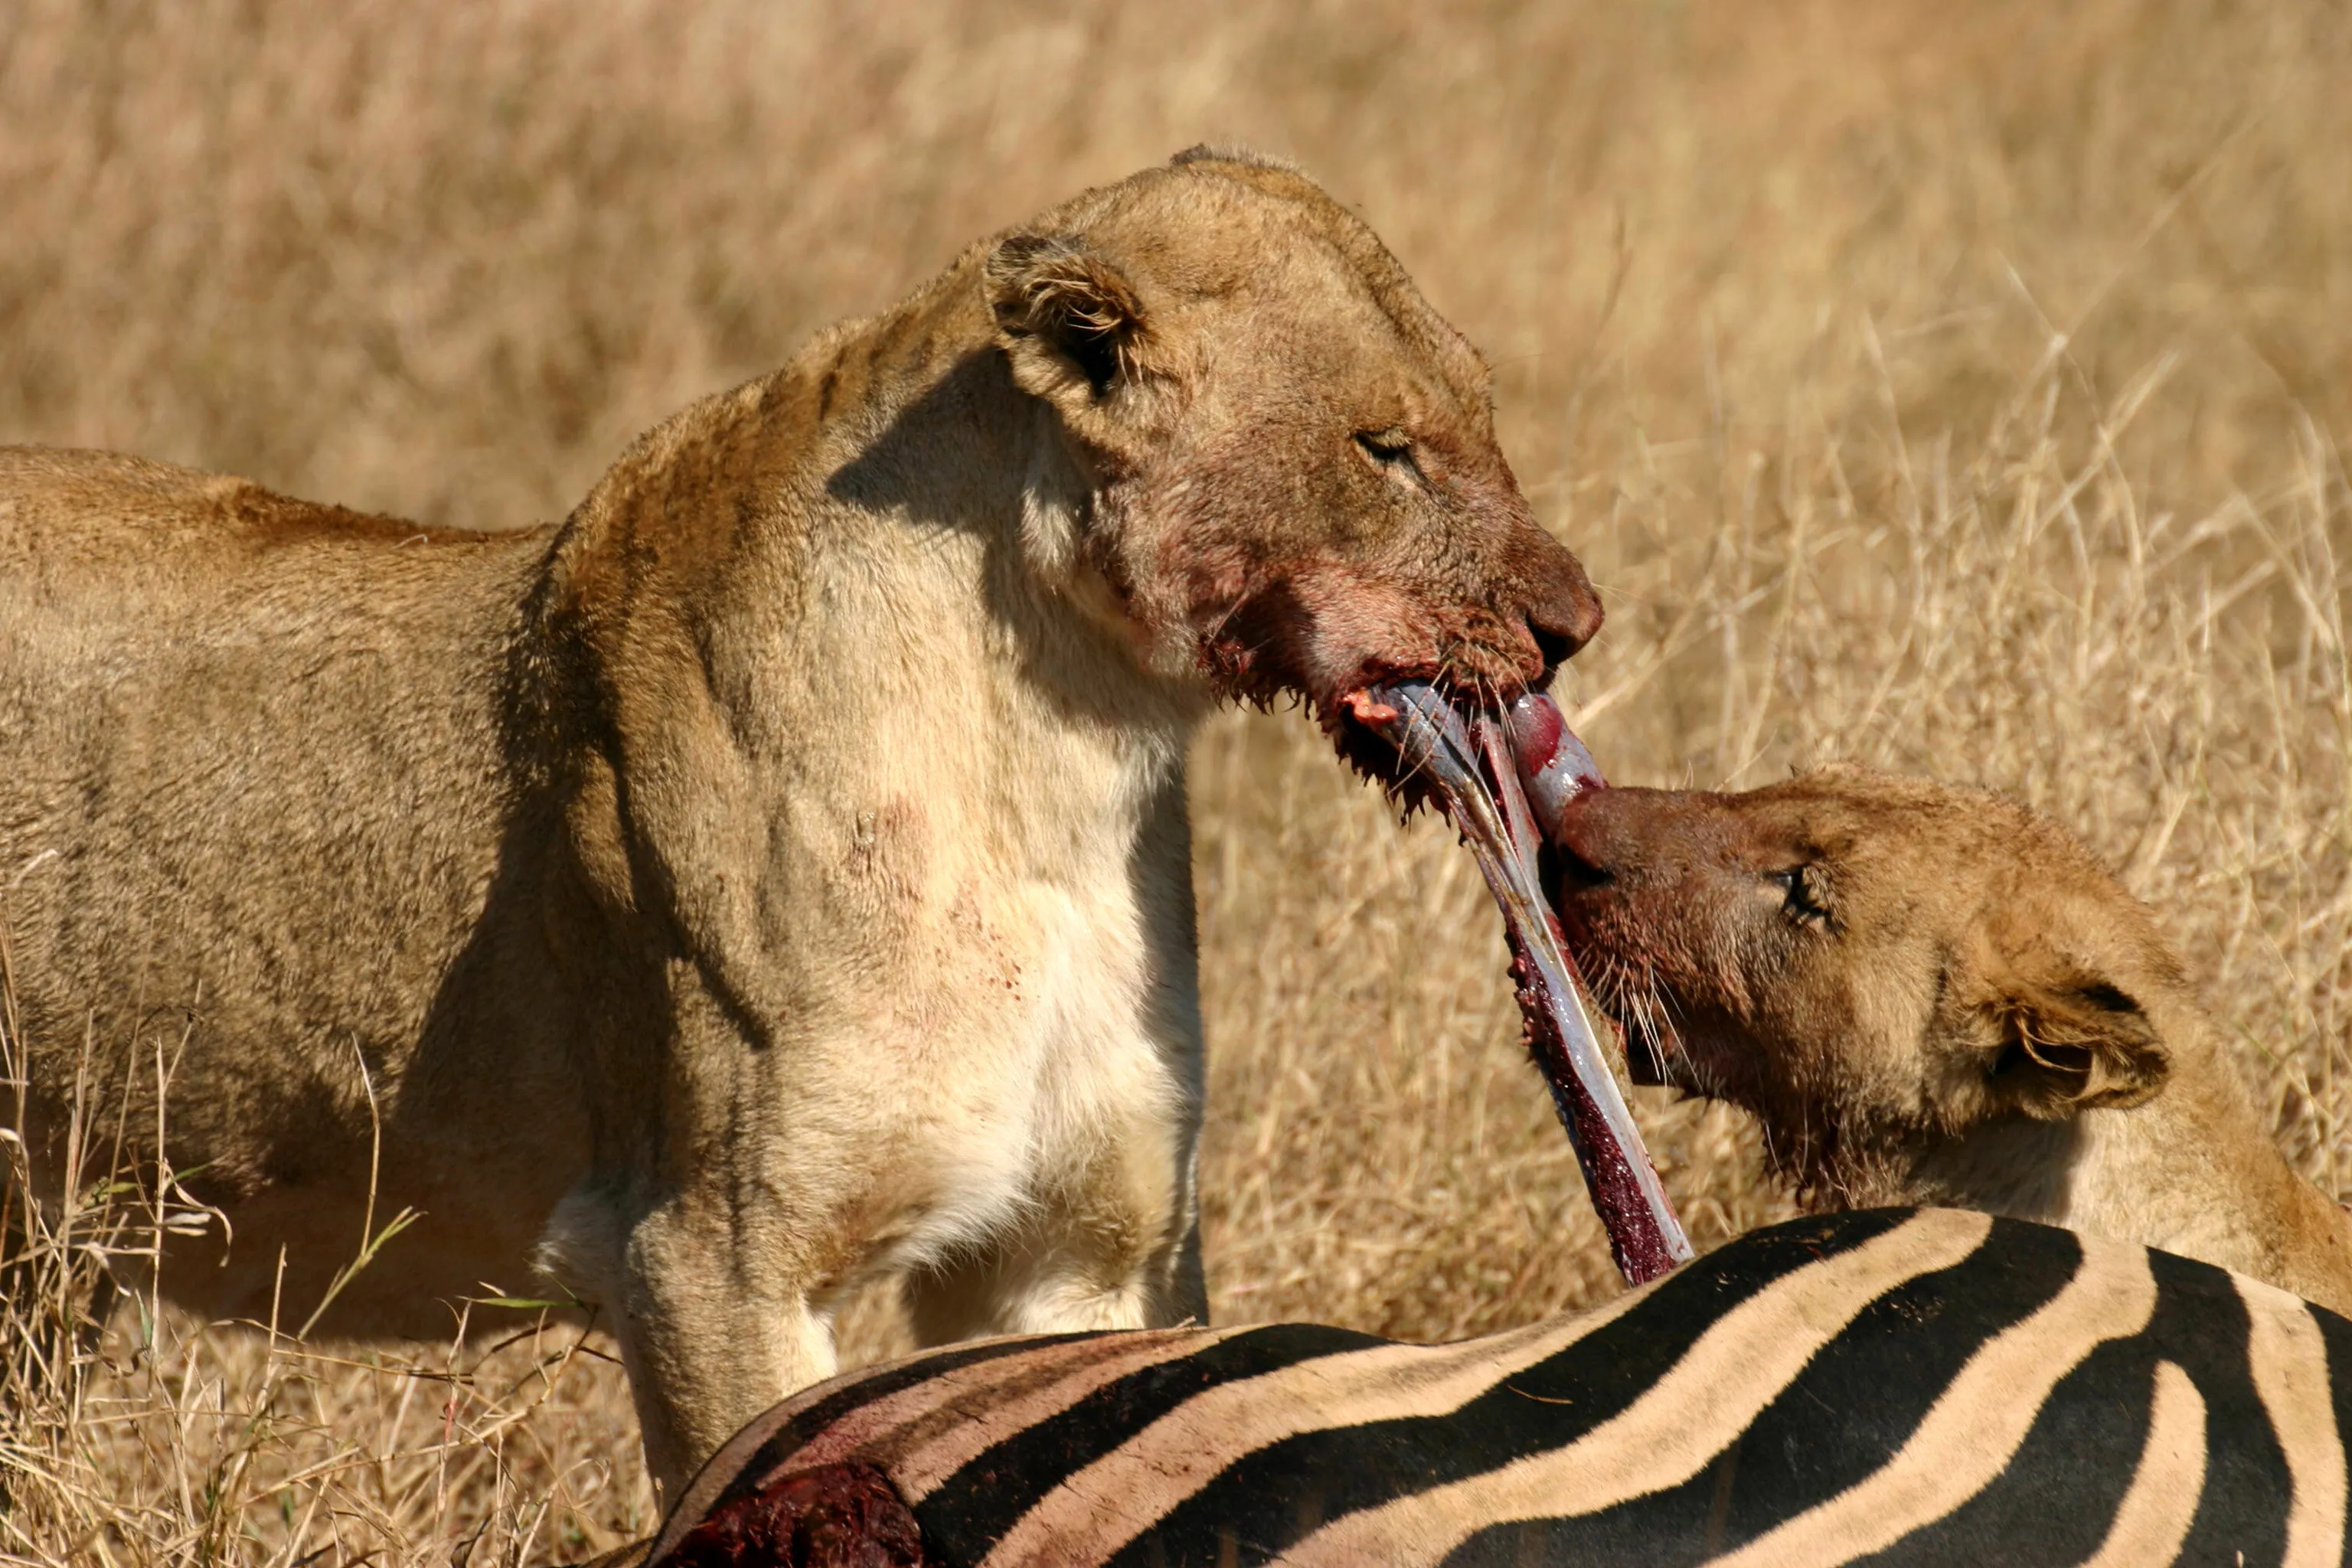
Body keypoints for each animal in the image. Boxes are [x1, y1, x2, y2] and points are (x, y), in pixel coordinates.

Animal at [0, 148, 1602, 1494]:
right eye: (1384, 447)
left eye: (1484, 410)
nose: (1573, 625)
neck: (1051, 760)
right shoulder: (709, 1254)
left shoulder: (1080, 1247)